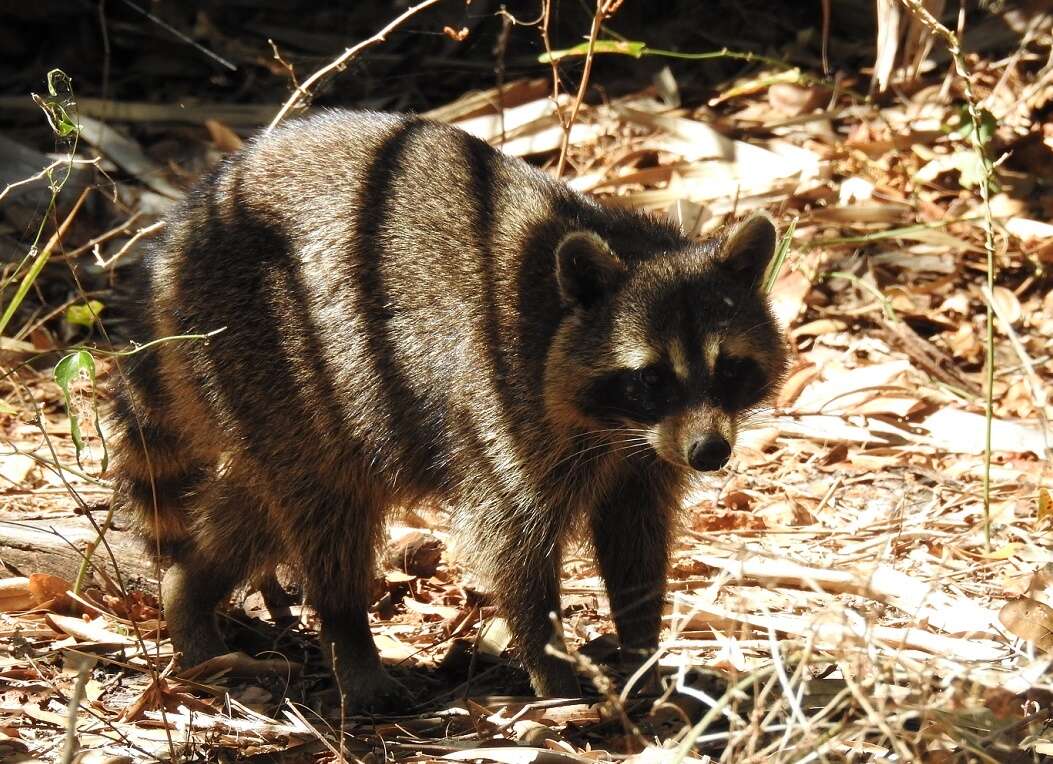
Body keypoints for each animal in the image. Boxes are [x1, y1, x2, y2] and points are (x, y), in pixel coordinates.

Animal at [111, 110, 787, 715]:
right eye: (650, 378)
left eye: (729, 368)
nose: (711, 452)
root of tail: (171, 255)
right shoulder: (506, 407)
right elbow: (513, 541)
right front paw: (553, 668)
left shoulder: (644, 457)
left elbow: (635, 537)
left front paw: (642, 648)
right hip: (272, 353)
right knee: (328, 507)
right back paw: (348, 637)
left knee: (258, 506)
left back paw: (190, 592)